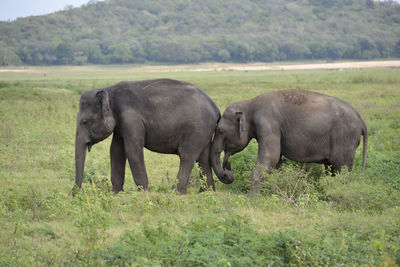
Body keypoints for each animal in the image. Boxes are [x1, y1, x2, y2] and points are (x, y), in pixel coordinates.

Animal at [73, 79, 220, 195]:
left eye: (84, 122)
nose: (75, 193)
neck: (109, 90)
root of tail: (215, 107)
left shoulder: (131, 119)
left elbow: (132, 150)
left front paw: (143, 192)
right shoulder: (120, 124)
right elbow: (116, 151)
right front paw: (115, 192)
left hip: (198, 128)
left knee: (187, 154)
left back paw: (176, 192)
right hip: (204, 131)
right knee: (203, 158)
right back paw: (206, 192)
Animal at [211, 89, 368, 193]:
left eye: (220, 131)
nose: (227, 172)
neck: (249, 103)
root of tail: (360, 117)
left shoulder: (267, 123)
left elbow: (270, 157)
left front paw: (251, 199)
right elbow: (276, 161)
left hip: (345, 138)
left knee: (342, 169)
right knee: (331, 170)